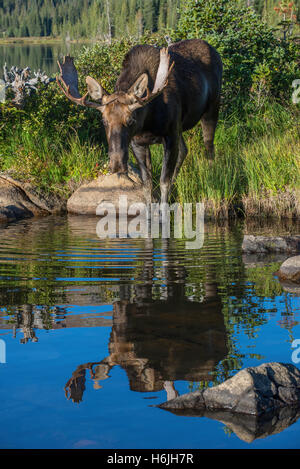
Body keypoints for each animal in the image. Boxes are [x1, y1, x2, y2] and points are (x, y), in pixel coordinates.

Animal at [57, 38, 223, 203]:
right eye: (104, 121)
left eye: (131, 120)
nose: (116, 165)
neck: (148, 121)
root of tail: (215, 51)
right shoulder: (138, 143)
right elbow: (147, 184)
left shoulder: (170, 135)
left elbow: (163, 181)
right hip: (180, 128)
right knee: (184, 150)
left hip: (211, 109)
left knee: (209, 148)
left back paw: (212, 177)